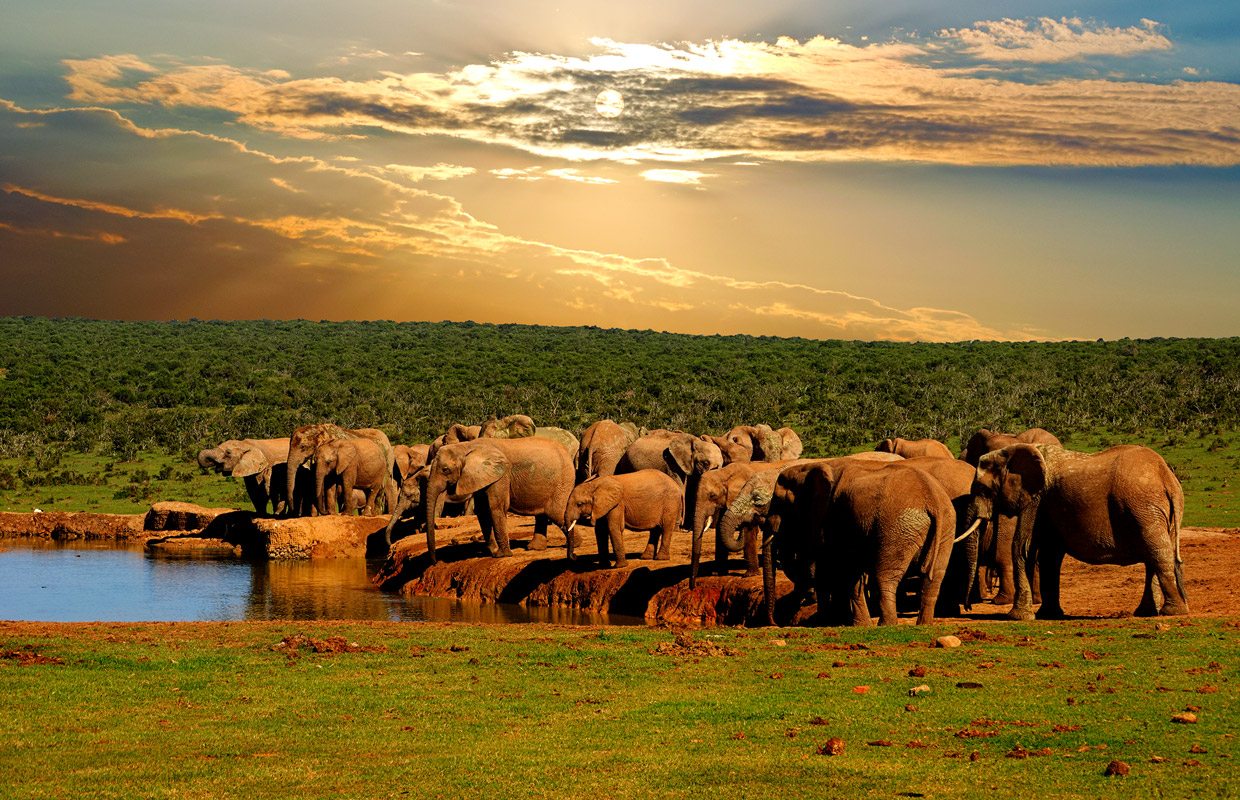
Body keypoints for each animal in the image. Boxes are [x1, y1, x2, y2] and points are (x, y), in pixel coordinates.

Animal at [419, 434, 567, 558]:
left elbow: (496, 507)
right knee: (543, 514)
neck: (466, 447)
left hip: (562, 481)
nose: (434, 561)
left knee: (556, 512)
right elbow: (482, 510)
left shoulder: (501, 475)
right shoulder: (479, 476)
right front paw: (494, 552)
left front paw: (502, 555)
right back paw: (535, 548)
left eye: (445, 470)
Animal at [967, 444, 1190, 617]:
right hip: (1156, 511)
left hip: (1143, 506)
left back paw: (1172, 612)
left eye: (982, 489)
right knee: (1156, 553)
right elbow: (1049, 555)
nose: (968, 608)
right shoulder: (1048, 503)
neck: (1010, 451)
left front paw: (1018, 617)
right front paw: (1049, 615)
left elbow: (1024, 548)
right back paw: (1146, 612)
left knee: (1157, 552)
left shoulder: (1036, 499)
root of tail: (1167, 478)